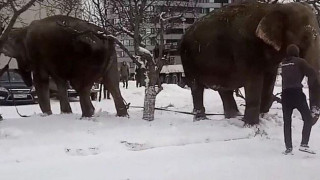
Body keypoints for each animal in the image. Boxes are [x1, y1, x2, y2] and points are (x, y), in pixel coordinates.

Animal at [1, 15, 129, 116]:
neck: (23, 31)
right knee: (113, 84)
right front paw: (66, 113)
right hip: (112, 59)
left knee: (81, 86)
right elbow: (60, 82)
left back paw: (86, 116)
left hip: (89, 58)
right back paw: (122, 115)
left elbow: (41, 80)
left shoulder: (38, 57)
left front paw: (47, 114)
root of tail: (104, 35)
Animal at [180, 2, 320, 124]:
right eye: (305, 37)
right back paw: (202, 120)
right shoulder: (246, 49)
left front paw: (262, 117)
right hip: (188, 60)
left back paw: (233, 117)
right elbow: (254, 81)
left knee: (224, 89)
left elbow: (269, 80)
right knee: (196, 88)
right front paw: (251, 125)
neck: (274, 8)